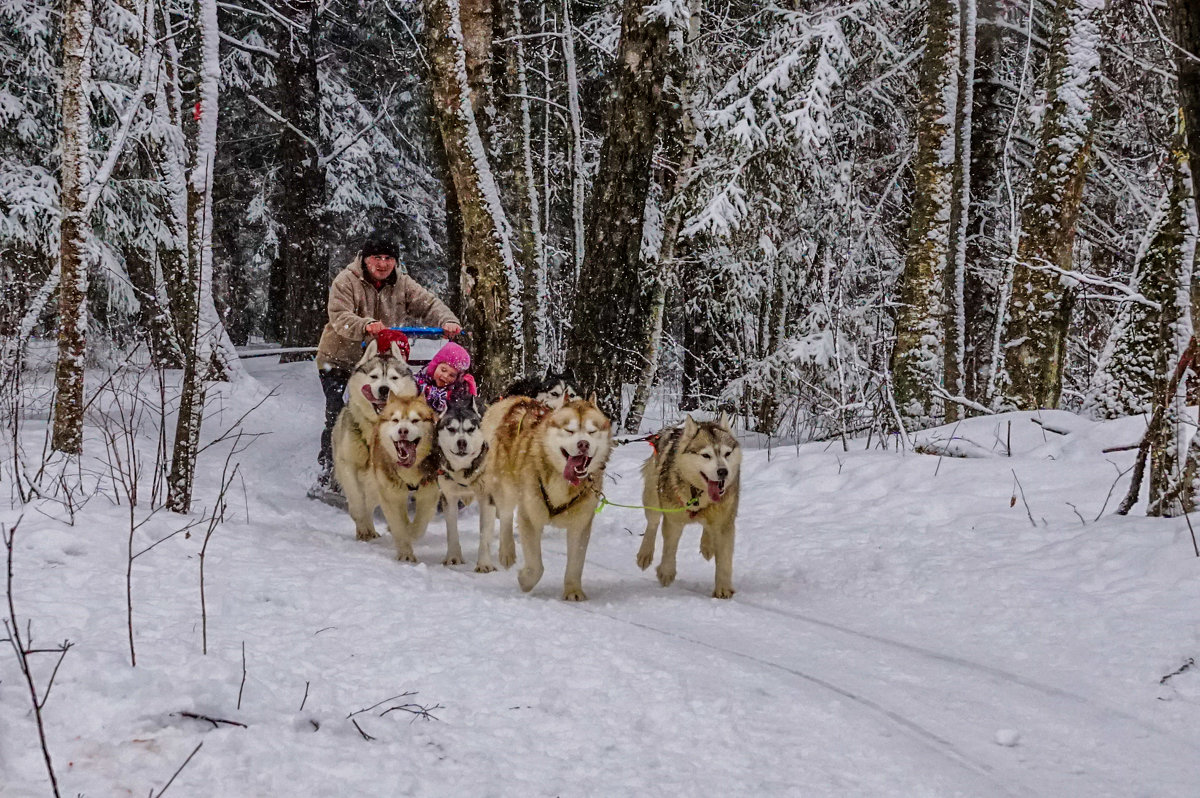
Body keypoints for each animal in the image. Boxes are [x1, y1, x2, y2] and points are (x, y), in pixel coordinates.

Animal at [333, 338, 417, 537]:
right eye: (374, 376)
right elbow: (357, 501)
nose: (384, 389)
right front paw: (362, 526)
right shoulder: (347, 464)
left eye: (394, 378)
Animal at [372, 393, 444, 559]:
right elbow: (398, 526)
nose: (403, 431)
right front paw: (405, 553)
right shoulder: (390, 495)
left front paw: (411, 533)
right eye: (395, 420)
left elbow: (419, 524)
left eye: (415, 420)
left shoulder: (429, 492)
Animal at [434, 396, 494, 568]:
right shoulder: (448, 496)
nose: (462, 442)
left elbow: (485, 533)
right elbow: (452, 530)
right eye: (451, 429)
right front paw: (453, 557)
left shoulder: (487, 497)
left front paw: (484, 564)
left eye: (471, 429)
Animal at [477, 391, 609, 597]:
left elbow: (576, 562)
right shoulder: (531, 515)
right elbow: (536, 567)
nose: (583, 444)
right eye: (569, 431)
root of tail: (515, 400)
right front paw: (525, 580)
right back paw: (507, 551)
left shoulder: (581, 523)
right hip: (505, 485)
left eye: (592, 432)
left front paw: (573, 591)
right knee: (505, 515)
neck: (563, 482)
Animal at [638, 412, 739, 595]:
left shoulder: (724, 522)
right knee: (653, 523)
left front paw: (723, 589)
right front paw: (666, 572)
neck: (698, 494)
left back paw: (707, 545)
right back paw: (645, 553)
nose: (723, 471)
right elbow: (670, 548)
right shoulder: (673, 520)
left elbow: (725, 558)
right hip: (652, 495)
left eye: (727, 453)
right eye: (706, 455)